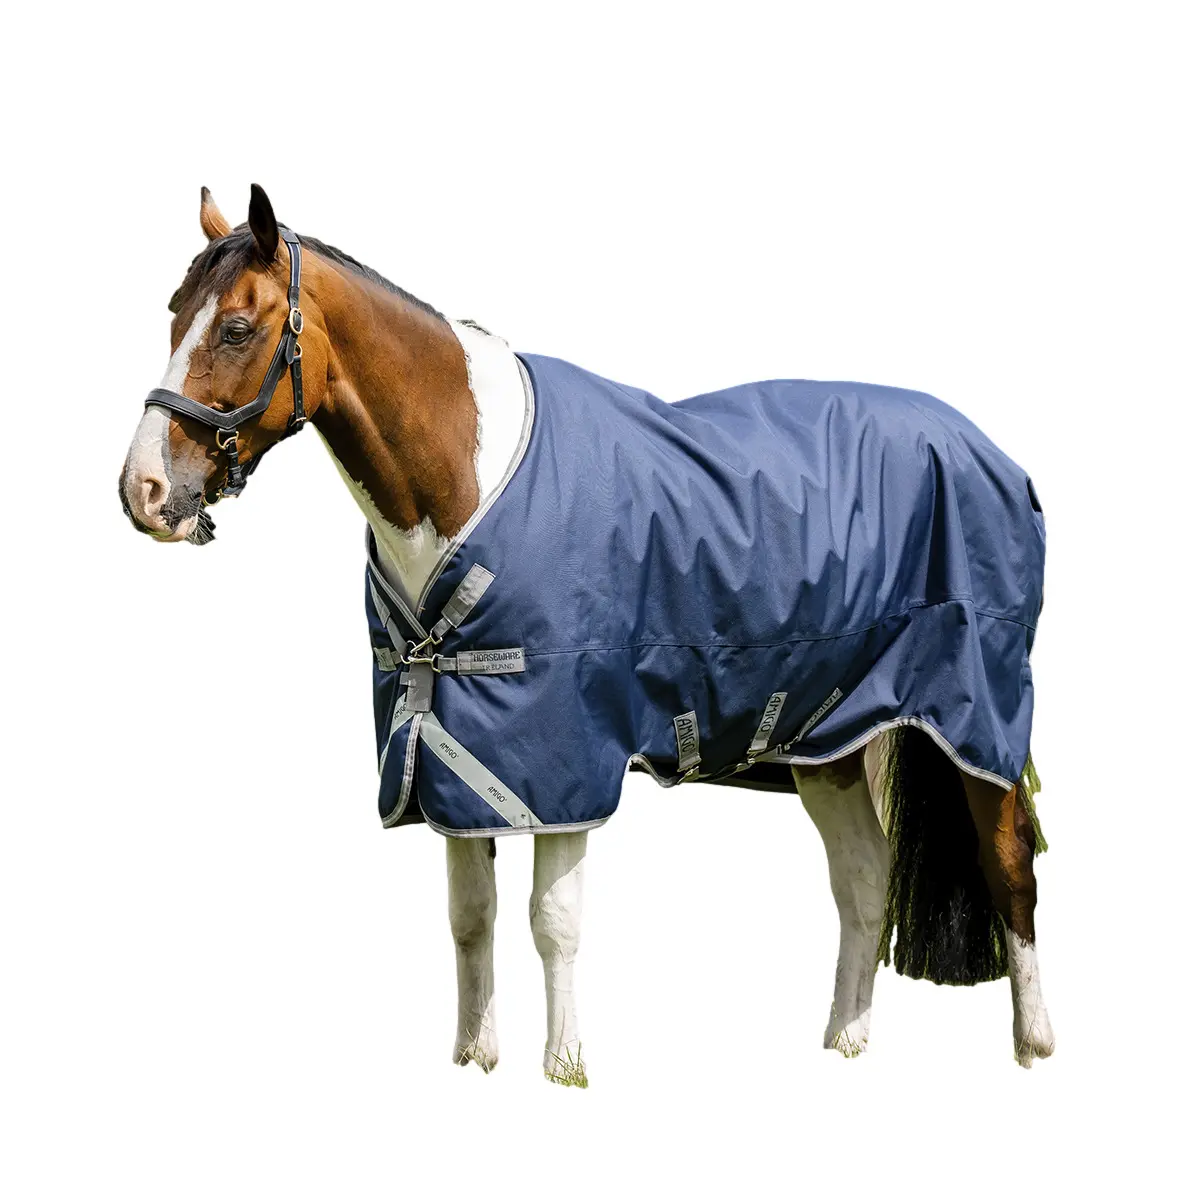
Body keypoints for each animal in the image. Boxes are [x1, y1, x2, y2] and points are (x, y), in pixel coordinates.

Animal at [119, 185, 1055, 1084]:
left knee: (1009, 867)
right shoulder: (454, 758)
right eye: (172, 312)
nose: (144, 492)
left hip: (977, 721)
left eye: (237, 328)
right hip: (826, 737)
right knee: (864, 879)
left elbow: (552, 920)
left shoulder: (563, 757)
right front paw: (475, 1057)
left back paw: (1033, 1044)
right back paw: (846, 1039)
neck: (465, 473)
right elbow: (470, 917)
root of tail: (992, 453)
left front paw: (564, 1065)